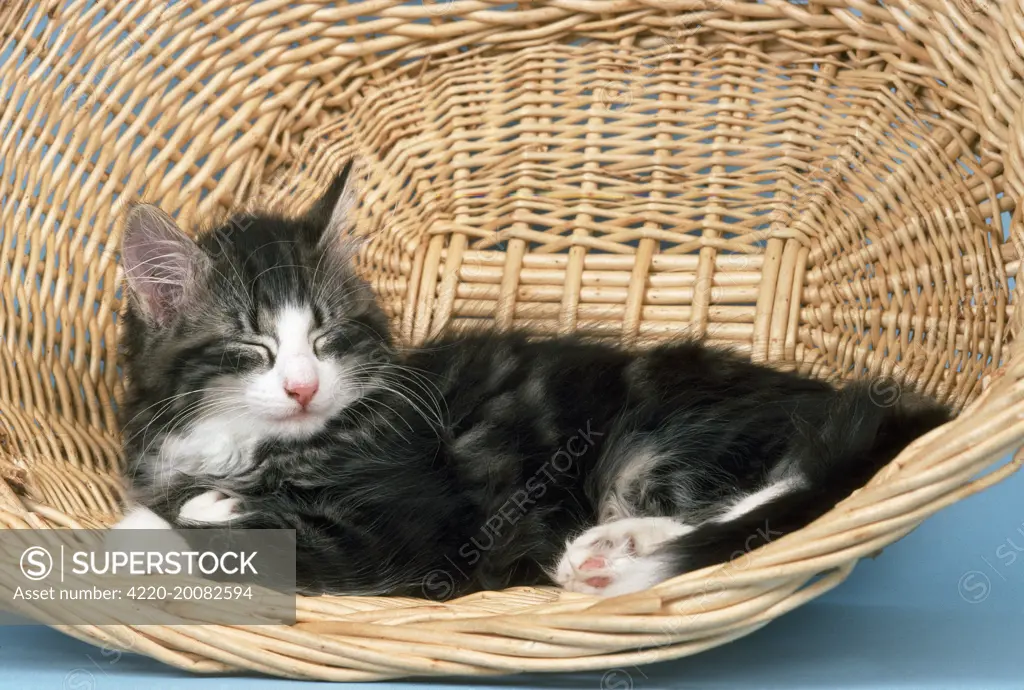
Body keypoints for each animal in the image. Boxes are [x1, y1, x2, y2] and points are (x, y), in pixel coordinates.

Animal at [112, 161, 950, 597]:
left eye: (325, 337)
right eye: (251, 347)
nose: (303, 388)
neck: (257, 446)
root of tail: (855, 402)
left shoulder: (414, 531)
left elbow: (240, 535)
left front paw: (160, 523)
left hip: (667, 434)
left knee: (787, 500)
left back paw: (616, 558)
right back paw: (616, 550)